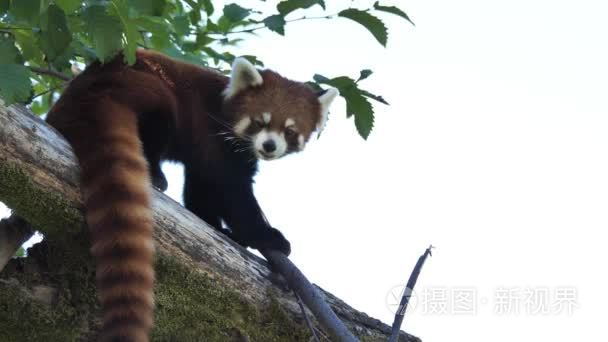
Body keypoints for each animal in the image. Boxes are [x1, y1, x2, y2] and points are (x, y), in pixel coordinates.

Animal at [45, 48, 340, 342]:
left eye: (289, 131)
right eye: (259, 122)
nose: (269, 146)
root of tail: (83, 92)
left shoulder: (207, 154)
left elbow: (202, 190)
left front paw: (217, 227)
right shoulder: (214, 138)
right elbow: (233, 194)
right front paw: (266, 235)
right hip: (144, 86)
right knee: (159, 117)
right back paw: (155, 173)